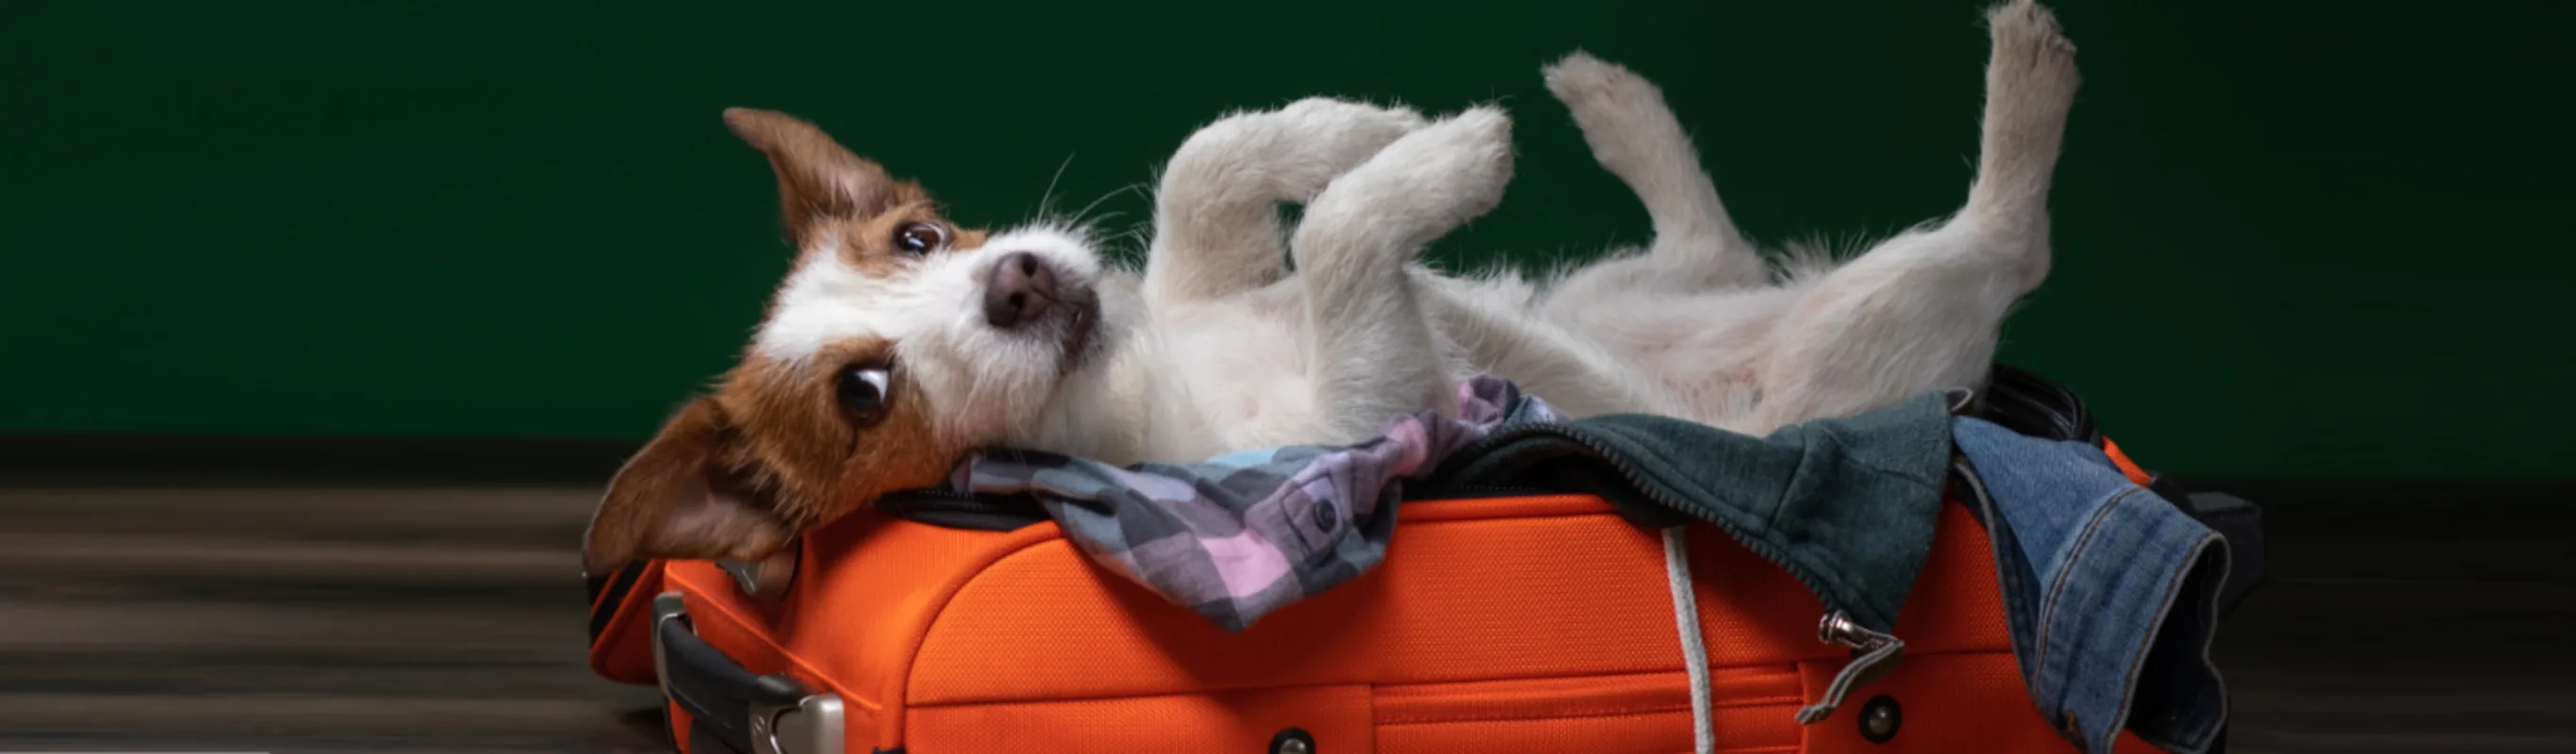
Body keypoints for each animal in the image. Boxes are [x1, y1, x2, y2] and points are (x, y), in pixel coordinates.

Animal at [582, 99, 1504, 568]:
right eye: (862, 394)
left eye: (918, 238)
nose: (1017, 283)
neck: (1127, 392)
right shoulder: (1356, 419)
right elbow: (1334, 235)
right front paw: (1461, 153)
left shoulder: (1218, 277)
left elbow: (1204, 161)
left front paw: (1369, 128)